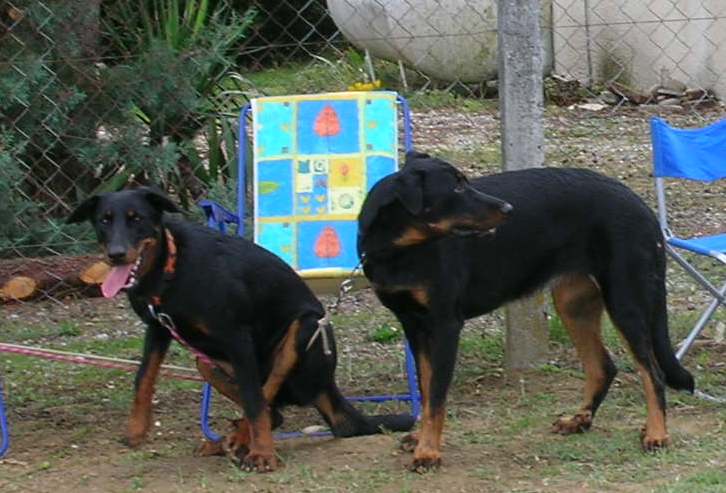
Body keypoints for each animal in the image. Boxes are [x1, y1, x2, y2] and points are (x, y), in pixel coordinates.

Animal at [68, 186, 416, 470]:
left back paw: (244, 444)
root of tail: (326, 388)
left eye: (136, 218)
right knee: (272, 410)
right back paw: (230, 441)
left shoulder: (237, 337)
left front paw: (263, 455)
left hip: (302, 330)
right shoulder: (158, 328)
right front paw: (136, 429)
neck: (170, 269)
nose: (115, 255)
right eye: (104, 220)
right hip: (205, 362)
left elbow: (253, 400)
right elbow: (143, 378)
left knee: (266, 399)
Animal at [362, 151, 696, 472]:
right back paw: (579, 421)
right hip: (574, 304)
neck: (398, 250)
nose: (508, 208)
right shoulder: (414, 325)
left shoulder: (445, 325)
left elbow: (437, 398)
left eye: (464, 182)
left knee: (652, 372)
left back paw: (656, 434)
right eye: (456, 187)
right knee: (603, 366)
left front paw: (428, 453)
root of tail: (639, 203)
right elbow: (427, 388)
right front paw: (421, 441)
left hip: (625, 300)